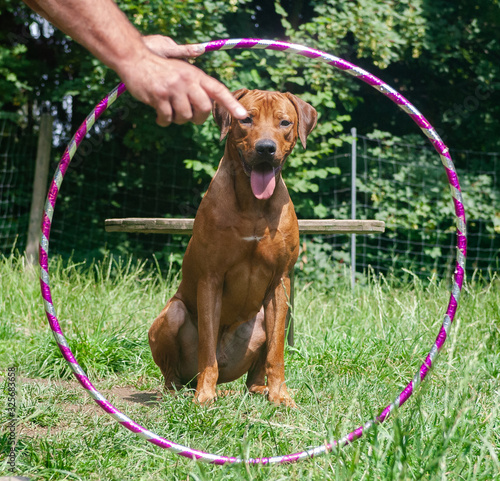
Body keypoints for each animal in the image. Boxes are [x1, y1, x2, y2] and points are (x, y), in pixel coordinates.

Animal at [148, 89, 316, 404]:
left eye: (285, 122)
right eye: (246, 119)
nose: (266, 149)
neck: (253, 204)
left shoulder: (281, 282)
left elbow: (277, 351)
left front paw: (281, 395)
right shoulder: (210, 278)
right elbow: (207, 347)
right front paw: (205, 396)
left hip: (263, 321)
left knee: (253, 377)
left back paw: (262, 389)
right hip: (172, 315)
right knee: (176, 372)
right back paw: (181, 390)